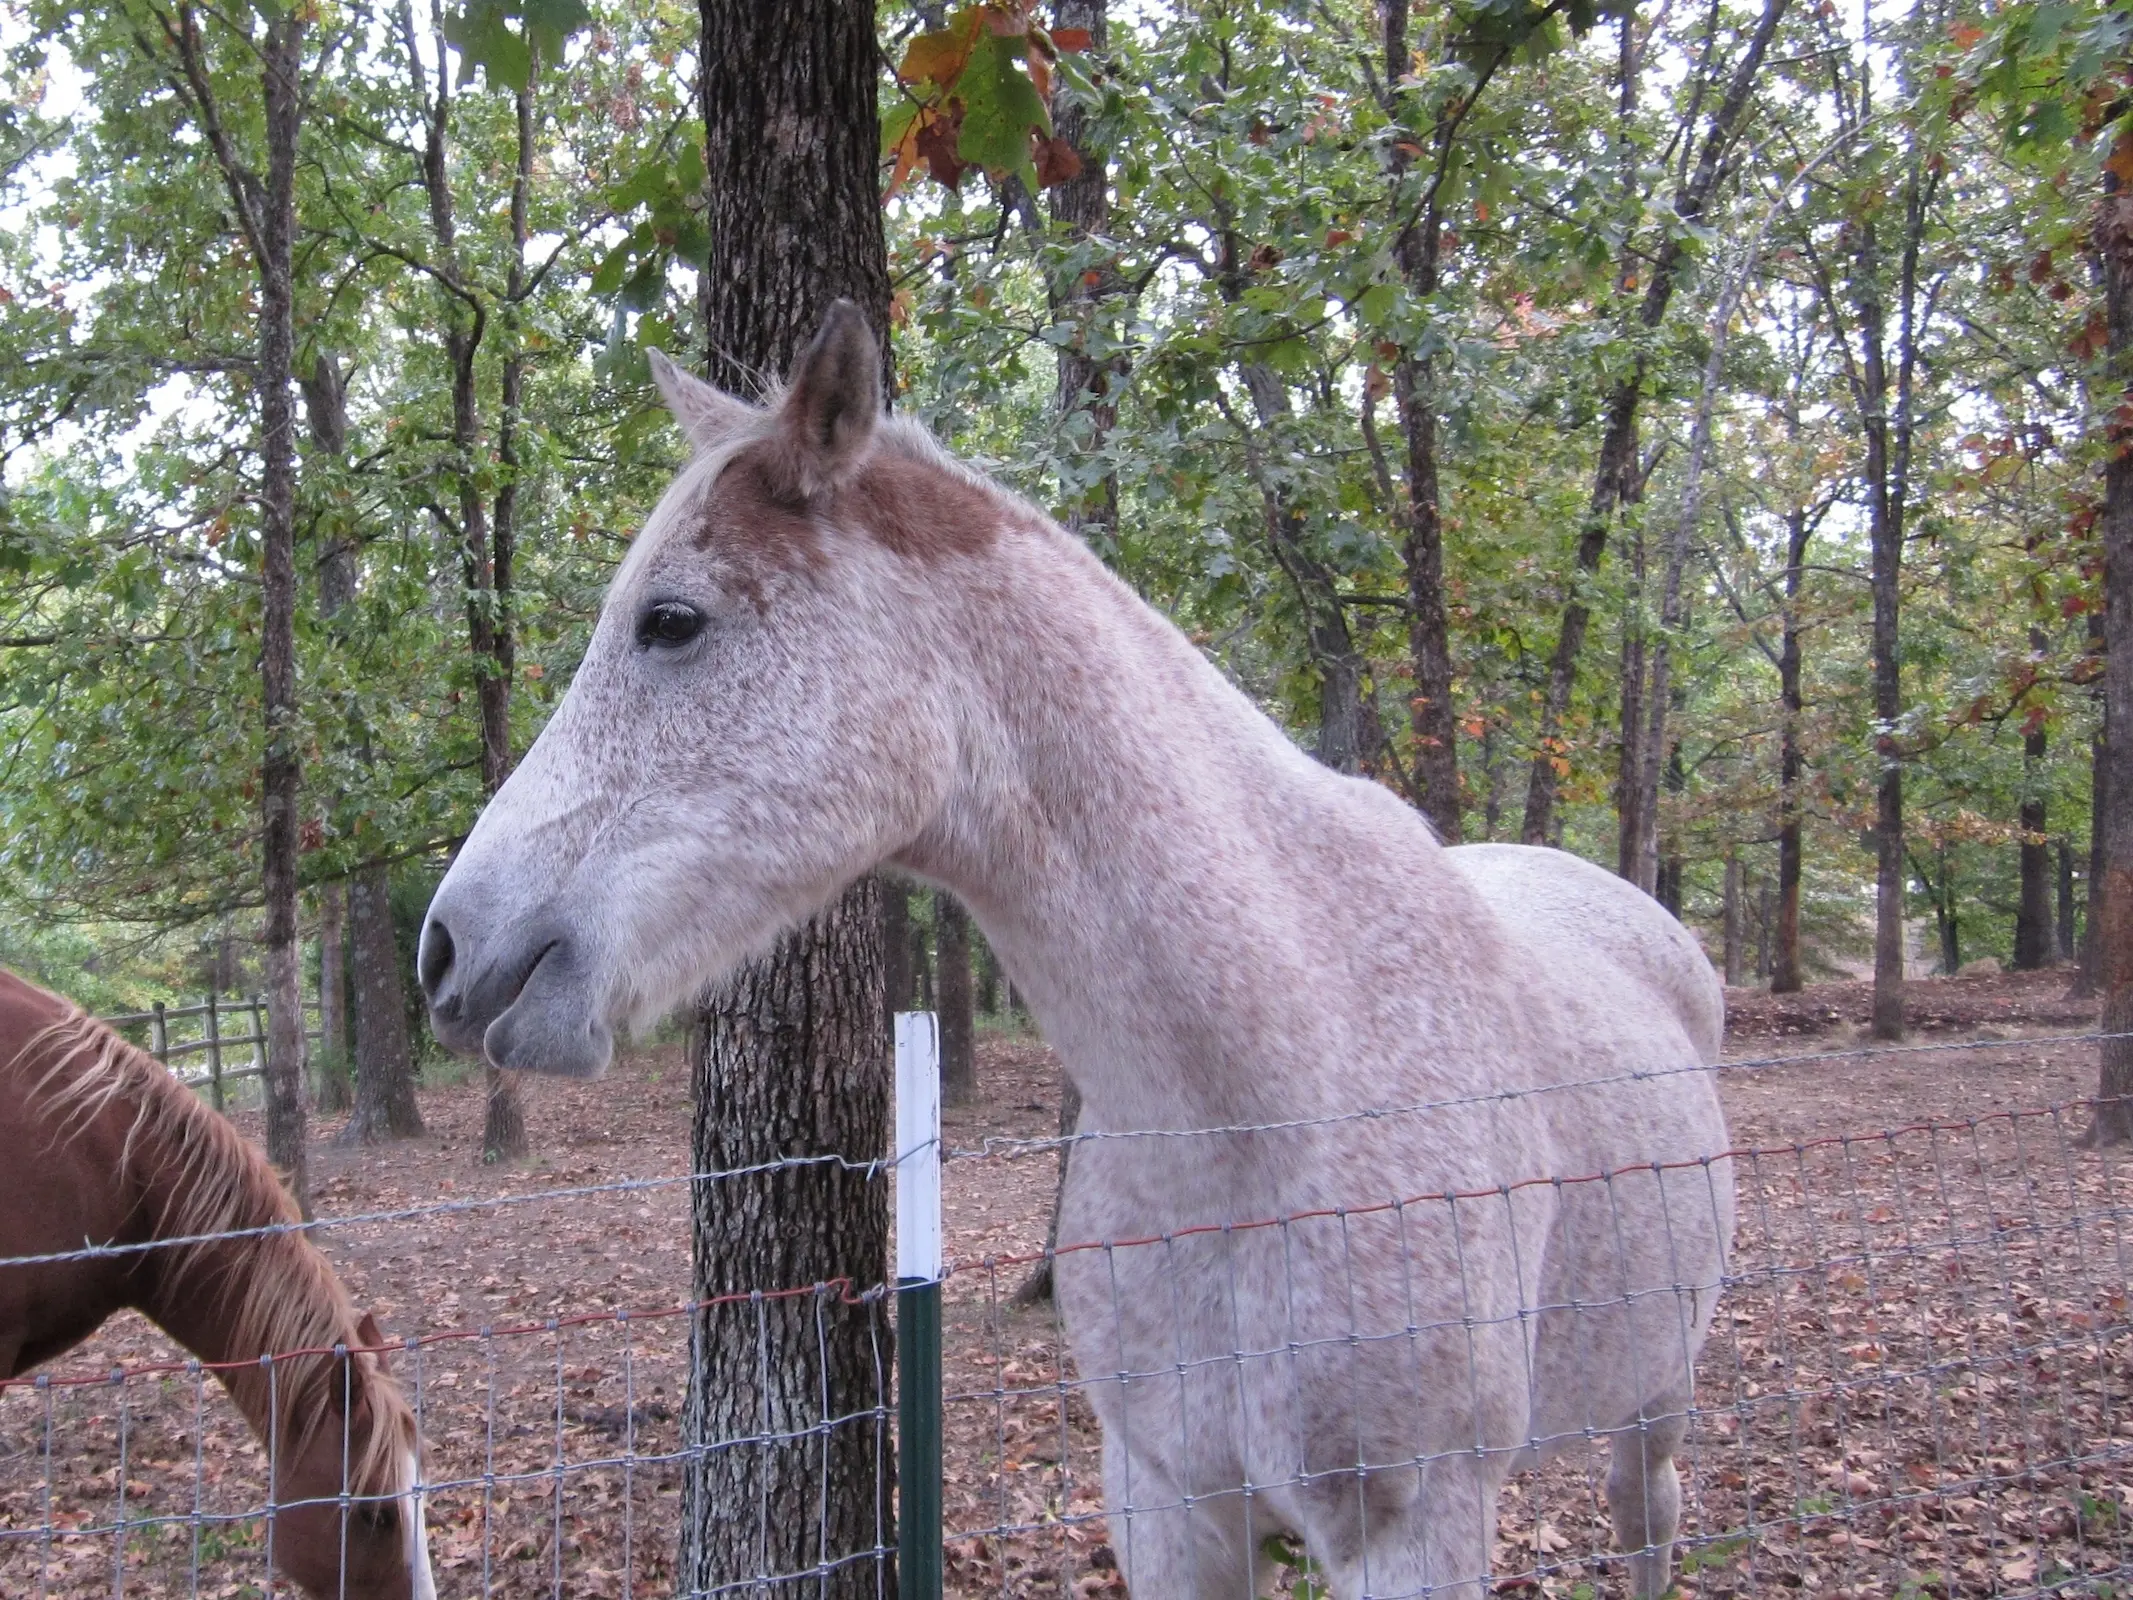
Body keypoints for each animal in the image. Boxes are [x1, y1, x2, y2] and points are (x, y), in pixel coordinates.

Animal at [420, 307, 1731, 1595]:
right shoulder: (1164, 1500)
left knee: (1650, 1521)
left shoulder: (1418, 1526)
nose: (445, 948)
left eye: (673, 621)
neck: (1281, 1079)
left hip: (1656, 1408)